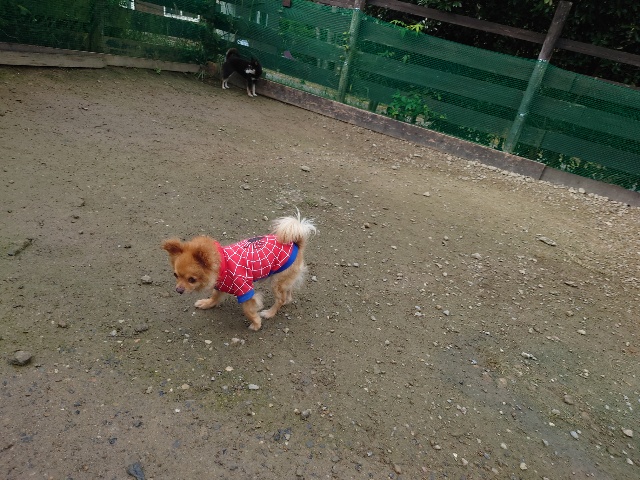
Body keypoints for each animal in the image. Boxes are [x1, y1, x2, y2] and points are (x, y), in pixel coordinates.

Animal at [162, 212, 316, 331]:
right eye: (175, 275)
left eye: (192, 279)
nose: (178, 290)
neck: (223, 266)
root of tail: (296, 242)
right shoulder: (221, 285)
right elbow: (215, 296)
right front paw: (206, 303)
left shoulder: (245, 290)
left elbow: (248, 310)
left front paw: (256, 324)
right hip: (282, 279)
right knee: (288, 294)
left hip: (276, 282)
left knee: (281, 299)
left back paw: (269, 313)